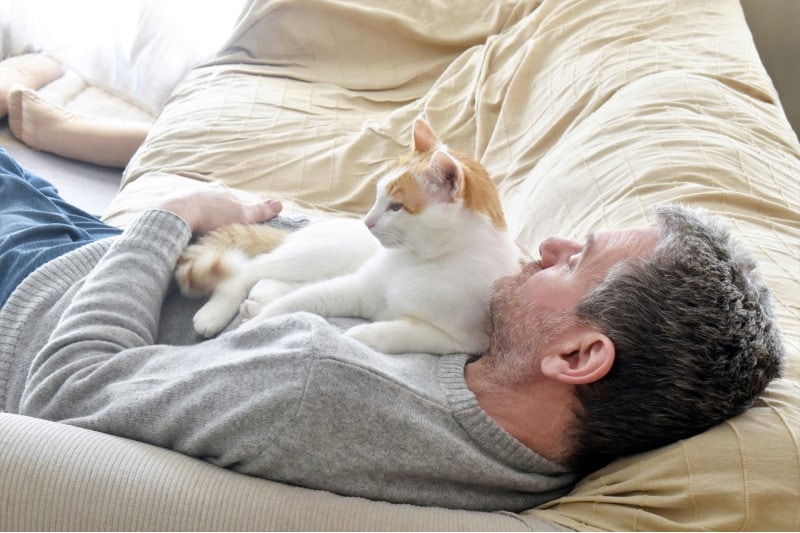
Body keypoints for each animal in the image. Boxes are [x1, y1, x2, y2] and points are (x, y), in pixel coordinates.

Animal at [177, 118, 520, 356]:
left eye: (396, 207)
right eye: (378, 196)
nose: (366, 221)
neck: (420, 262)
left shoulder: (461, 339)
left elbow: (401, 333)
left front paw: (362, 337)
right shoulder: (359, 288)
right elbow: (298, 302)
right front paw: (258, 323)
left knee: (274, 280)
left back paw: (259, 299)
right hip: (316, 256)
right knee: (249, 271)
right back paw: (218, 311)